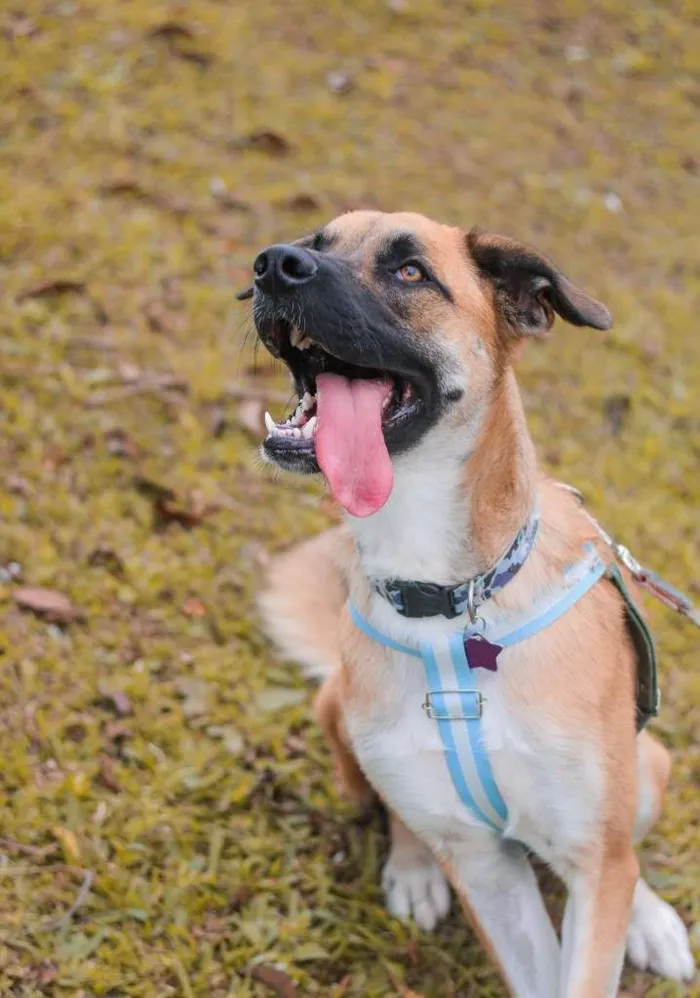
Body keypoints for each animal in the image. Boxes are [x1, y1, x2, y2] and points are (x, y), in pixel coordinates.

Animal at [242, 207, 696, 996]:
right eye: (314, 242)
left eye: (411, 271)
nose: (273, 264)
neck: (448, 601)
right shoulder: (486, 869)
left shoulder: (588, 855)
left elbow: (594, 924)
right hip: (338, 710)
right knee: (396, 809)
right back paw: (412, 866)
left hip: (649, 766)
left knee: (628, 854)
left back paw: (651, 919)